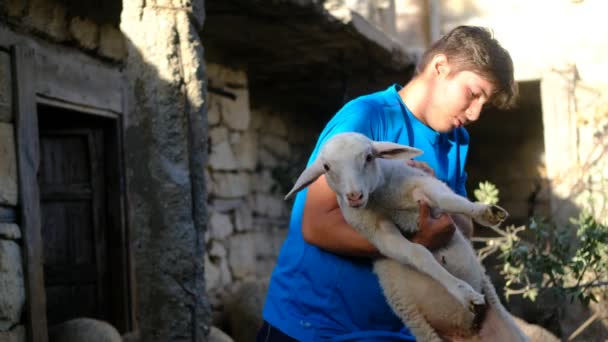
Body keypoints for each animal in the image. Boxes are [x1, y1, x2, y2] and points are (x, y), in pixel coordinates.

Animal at [284, 133, 528, 342]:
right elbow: (417, 253)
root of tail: (469, 333)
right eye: (326, 167)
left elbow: (448, 200)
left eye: (369, 157)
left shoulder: (420, 183)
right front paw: (465, 294)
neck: (381, 196)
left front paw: (485, 212)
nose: (354, 196)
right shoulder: (376, 231)